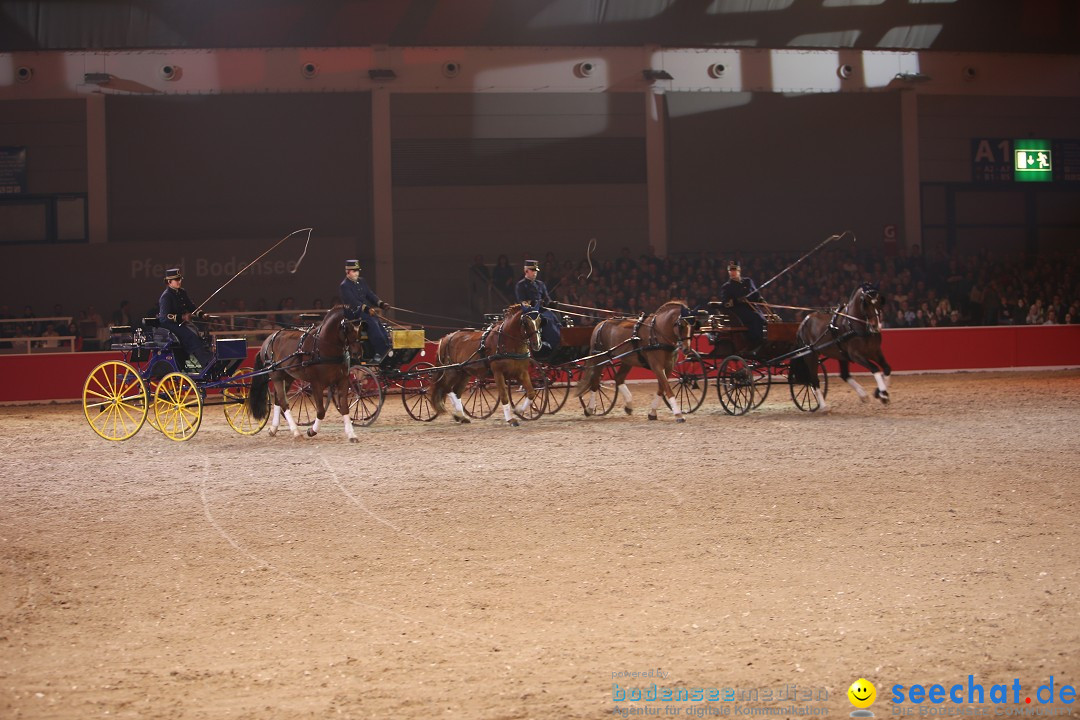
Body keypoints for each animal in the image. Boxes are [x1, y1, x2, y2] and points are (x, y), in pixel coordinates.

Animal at [246, 304, 367, 440]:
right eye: (347, 327)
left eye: (360, 326)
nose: (357, 353)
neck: (323, 346)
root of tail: (269, 339)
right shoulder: (316, 383)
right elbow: (321, 411)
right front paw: (312, 431)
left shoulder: (343, 380)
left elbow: (345, 408)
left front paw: (352, 434)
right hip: (276, 375)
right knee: (283, 401)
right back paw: (296, 431)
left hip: (287, 376)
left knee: (278, 400)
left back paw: (273, 428)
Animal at [799, 284, 889, 414]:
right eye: (865, 303)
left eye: (879, 303)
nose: (875, 326)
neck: (854, 325)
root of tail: (804, 321)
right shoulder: (856, 355)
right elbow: (875, 369)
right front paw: (883, 394)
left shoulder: (875, 352)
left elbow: (887, 369)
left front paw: (880, 393)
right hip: (810, 355)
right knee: (814, 379)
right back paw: (824, 406)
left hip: (840, 355)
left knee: (844, 374)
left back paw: (862, 394)